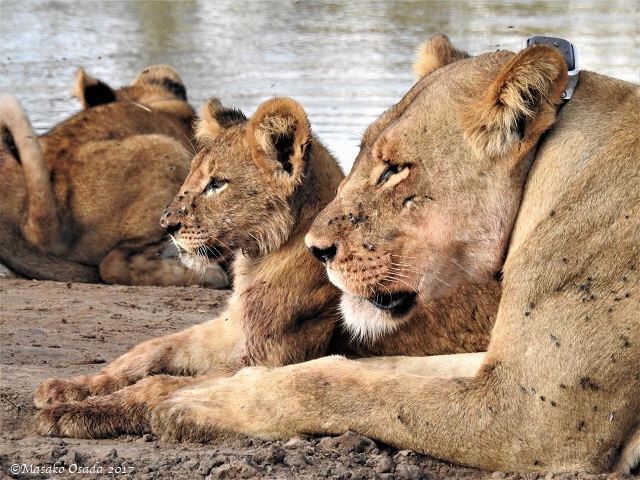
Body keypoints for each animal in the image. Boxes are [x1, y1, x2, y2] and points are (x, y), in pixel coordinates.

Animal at [33, 96, 500, 438]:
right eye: (191, 176)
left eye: (217, 184)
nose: (166, 224)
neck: (257, 259)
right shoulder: (233, 328)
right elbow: (148, 350)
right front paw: (67, 388)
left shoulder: (268, 357)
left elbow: (157, 385)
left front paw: (76, 413)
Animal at [99, 36, 634, 474]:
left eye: (395, 169)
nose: (319, 251)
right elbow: (351, 369)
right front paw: (127, 387)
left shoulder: (532, 415)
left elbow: (329, 382)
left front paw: (192, 402)